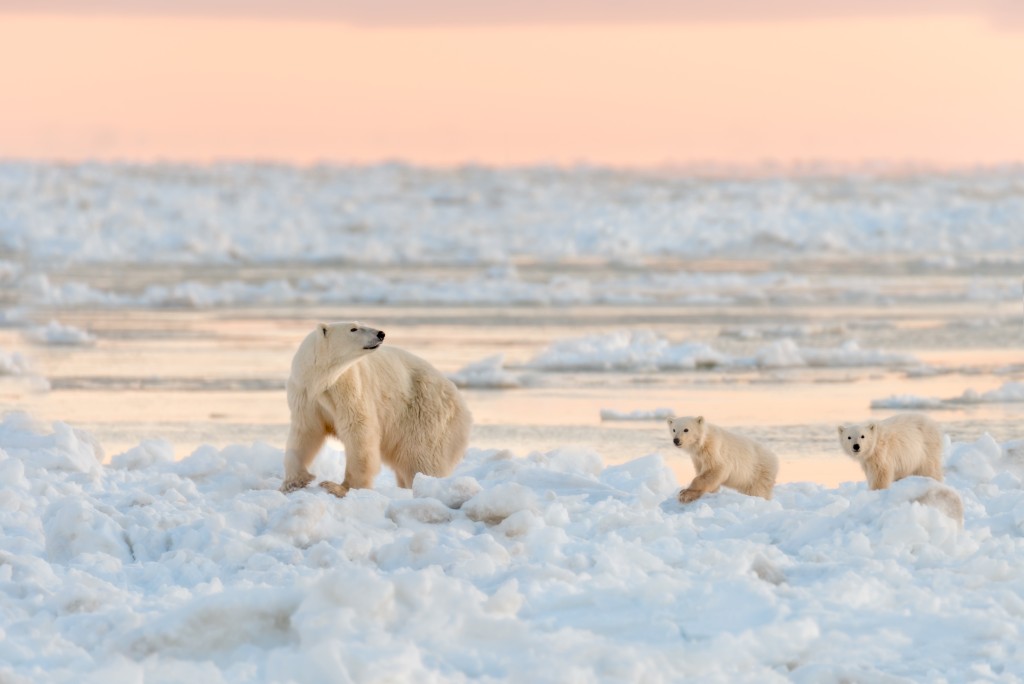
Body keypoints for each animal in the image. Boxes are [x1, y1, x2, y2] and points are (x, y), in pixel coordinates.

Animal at [280, 321, 471, 497]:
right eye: (354, 328)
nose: (381, 333)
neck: (319, 380)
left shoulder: (349, 387)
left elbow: (358, 431)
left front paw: (339, 487)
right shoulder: (305, 396)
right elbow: (305, 433)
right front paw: (293, 482)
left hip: (425, 413)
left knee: (420, 458)